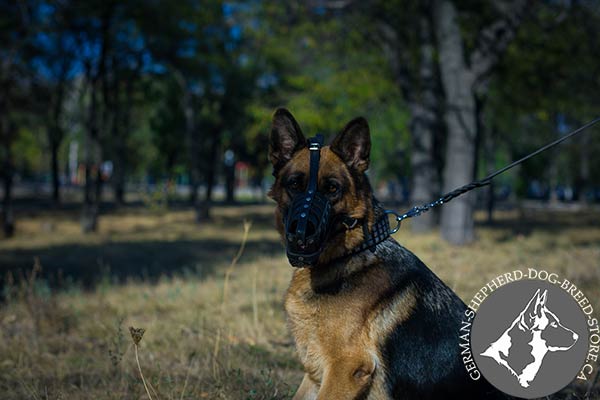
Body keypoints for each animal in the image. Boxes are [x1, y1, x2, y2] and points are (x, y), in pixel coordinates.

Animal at [270, 108, 508, 398]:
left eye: (332, 189)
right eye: (294, 185)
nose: (301, 232)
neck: (352, 253)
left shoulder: (345, 369)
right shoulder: (316, 373)